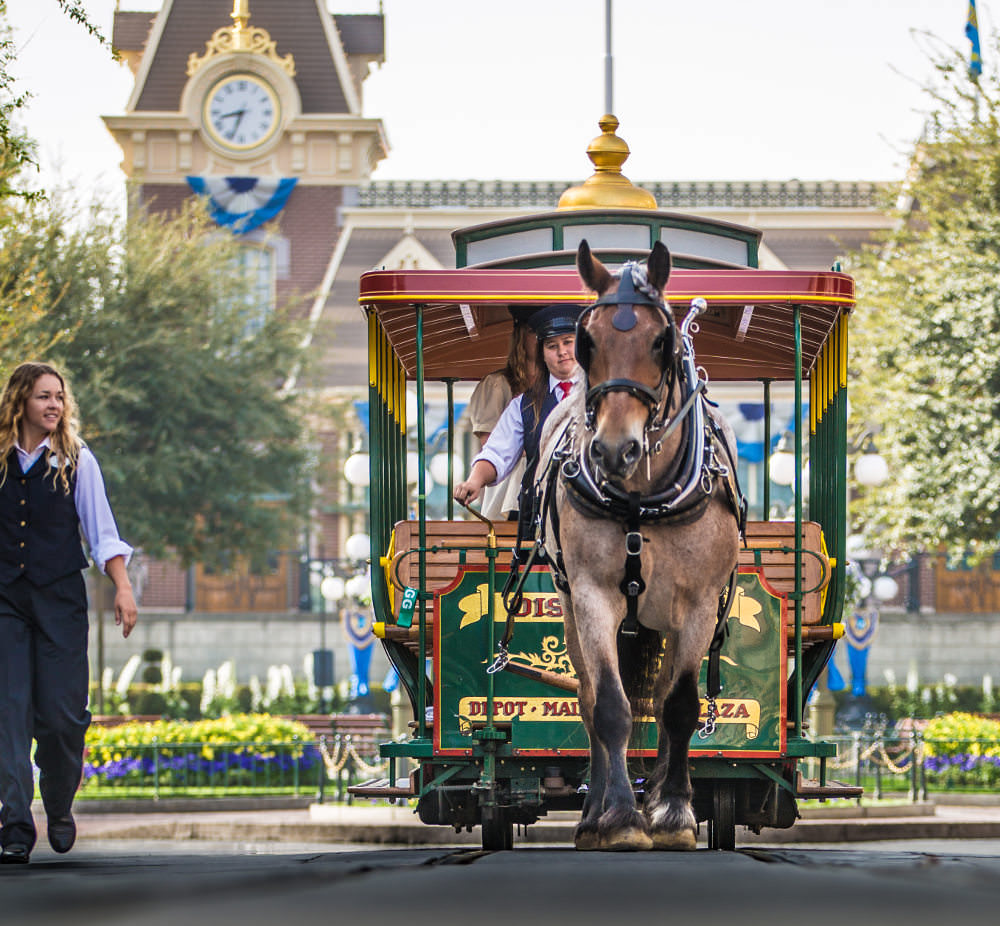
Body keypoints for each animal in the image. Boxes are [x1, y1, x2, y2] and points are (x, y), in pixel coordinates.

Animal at [540, 241, 744, 856]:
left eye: (662, 341)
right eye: (586, 342)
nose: (614, 449)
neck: (641, 502)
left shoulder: (698, 603)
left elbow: (679, 707)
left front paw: (672, 813)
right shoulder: (591, 596)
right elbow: (610, 706)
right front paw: (620, 819)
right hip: (574, 608)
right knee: (590, 699)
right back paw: (597, 812)